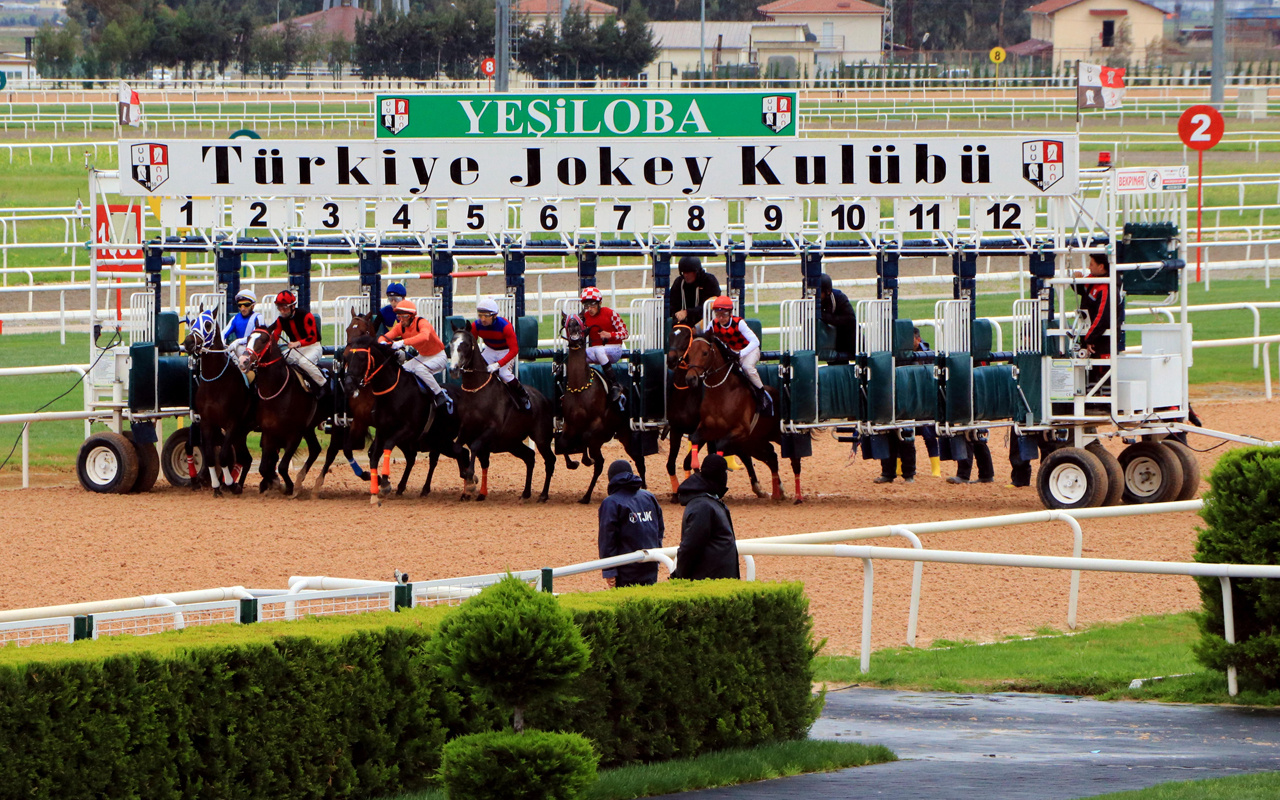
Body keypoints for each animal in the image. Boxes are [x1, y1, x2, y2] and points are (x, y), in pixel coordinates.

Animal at [183, 313, 254, 496]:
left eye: (208, 324)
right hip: (242, 432)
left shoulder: (232, 423)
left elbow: (223, 456)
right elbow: (209, 456)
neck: (215, 383)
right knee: (246, 458)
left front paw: (226, 482)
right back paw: (237, 485)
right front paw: (216, 486)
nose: (188, 342)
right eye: (193, 322)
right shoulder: (207, 423)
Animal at [240, 327, 325, 496]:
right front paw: (273, 483)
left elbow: (282, 465)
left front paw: (288, 487)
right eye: (248, 338)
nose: (243, 361)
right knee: (315, 449)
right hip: (309, 428)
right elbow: (264, 467)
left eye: (263, 340)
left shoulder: (294, 434)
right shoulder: (268, 432)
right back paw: (300, 480)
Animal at [448, 322, 552, 499]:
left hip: (541, 438)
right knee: (530, 457)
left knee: (549, 461)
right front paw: (467, 478)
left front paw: (471, 477)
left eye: (466, 345)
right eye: (451, 344)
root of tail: (543, 397)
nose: (453, 370)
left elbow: (475, 446)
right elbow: (457, 447)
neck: (477, 391)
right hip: (513, 442)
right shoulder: (466, 428)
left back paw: (543, 495)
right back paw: (526, 492)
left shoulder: (492, 429)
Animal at [558, 314, 645, 501]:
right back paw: (586, 496)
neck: (580, 387)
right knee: (601, 464)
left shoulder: (599, 428)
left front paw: (585, 459)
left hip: (626, 434)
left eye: (579, 319)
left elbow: (586, 438)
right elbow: (563, 443)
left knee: (637, 460)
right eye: (567, 321)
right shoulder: (570, 424)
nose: (574, 326)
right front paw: (573, 462)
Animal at [686, 335, 803, 499]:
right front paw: (696, 469)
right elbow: (694, 439)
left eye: (705, 353)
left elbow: (720, 446)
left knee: (794, 458)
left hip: (777, 435)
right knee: (772, 457)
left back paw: (797, 496)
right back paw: (778, 492)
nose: (690, 379)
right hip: (754, 442)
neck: (721, 394)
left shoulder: (740, 431)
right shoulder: (708, 429)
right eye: (688, 354)